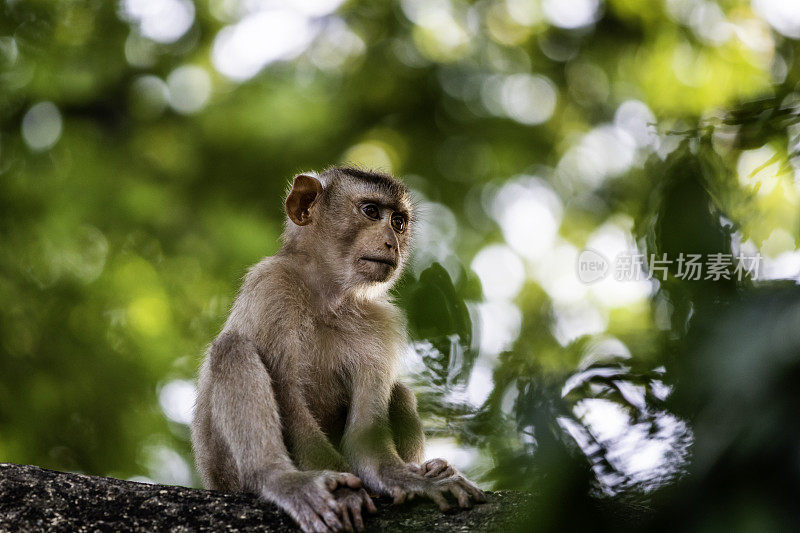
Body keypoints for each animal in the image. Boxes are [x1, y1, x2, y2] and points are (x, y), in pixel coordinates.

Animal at [192, 165, 488, 528]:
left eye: (398, 222)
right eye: (371, 211)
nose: (392, 243)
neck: (329, 298)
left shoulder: (381, 322)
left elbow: (366, 440)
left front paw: (406, 479)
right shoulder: (272, 285)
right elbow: (287, 396)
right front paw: (343, 491)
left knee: (399, 392)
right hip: (224, 472)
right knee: (232, 349)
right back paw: (279, 479)